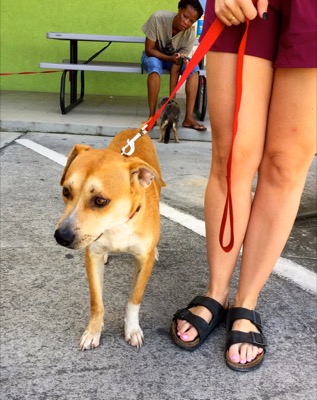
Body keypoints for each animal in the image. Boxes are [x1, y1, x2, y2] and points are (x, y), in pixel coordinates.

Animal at [53, 129, 165, 350]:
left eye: (100, 201)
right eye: (66, 191)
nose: (61, 237)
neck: (116, 226)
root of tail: (135, 129)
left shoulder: (143, 261)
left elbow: (134, 298)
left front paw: (132, 329)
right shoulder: (92, 256)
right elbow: (96, 301)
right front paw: (93, 331)